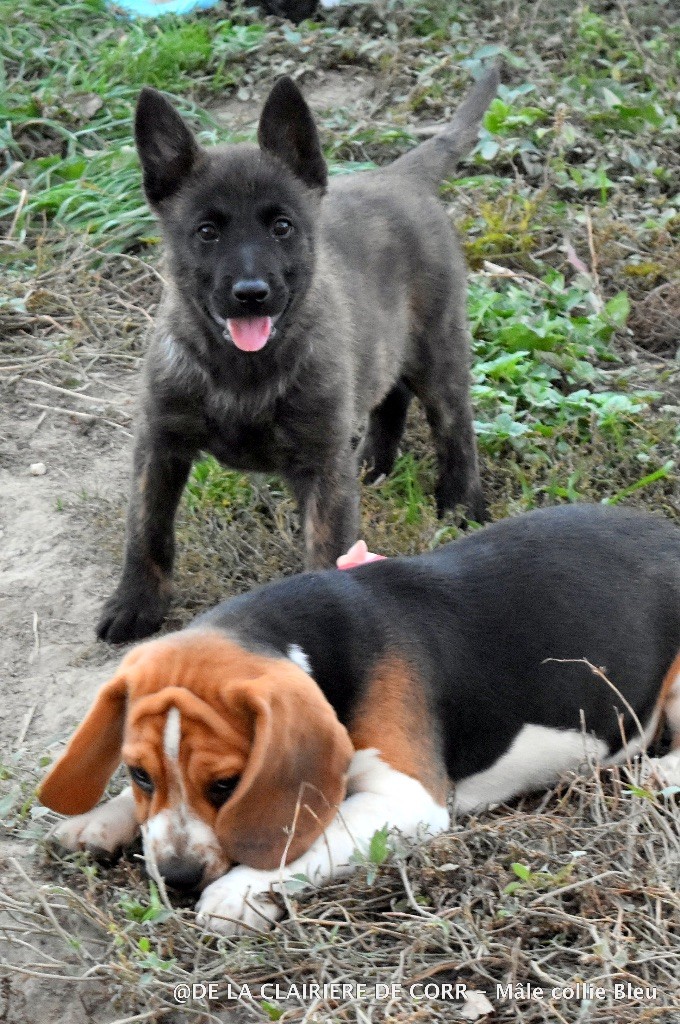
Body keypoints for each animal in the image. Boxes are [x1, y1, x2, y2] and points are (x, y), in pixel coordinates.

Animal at [42, 504, 680, 934]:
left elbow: (312, 837)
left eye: (226, 786)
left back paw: (661, 773)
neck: (300, 641)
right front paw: (100, 820)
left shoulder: (406, 798)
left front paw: (238, 891)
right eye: (139, 775)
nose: (175, 878)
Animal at [96, 69, 500, 644]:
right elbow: (146, 528)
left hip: (439, 352)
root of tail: (399, 177)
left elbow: (328, 551)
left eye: (281, 226)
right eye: (206, 231)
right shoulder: (160, 443)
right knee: (389, 395)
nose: (251, 294)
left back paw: (462, 505)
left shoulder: (320, 466)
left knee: (454, 427)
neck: (240, 371)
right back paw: (372, 465)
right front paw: (135, 603)